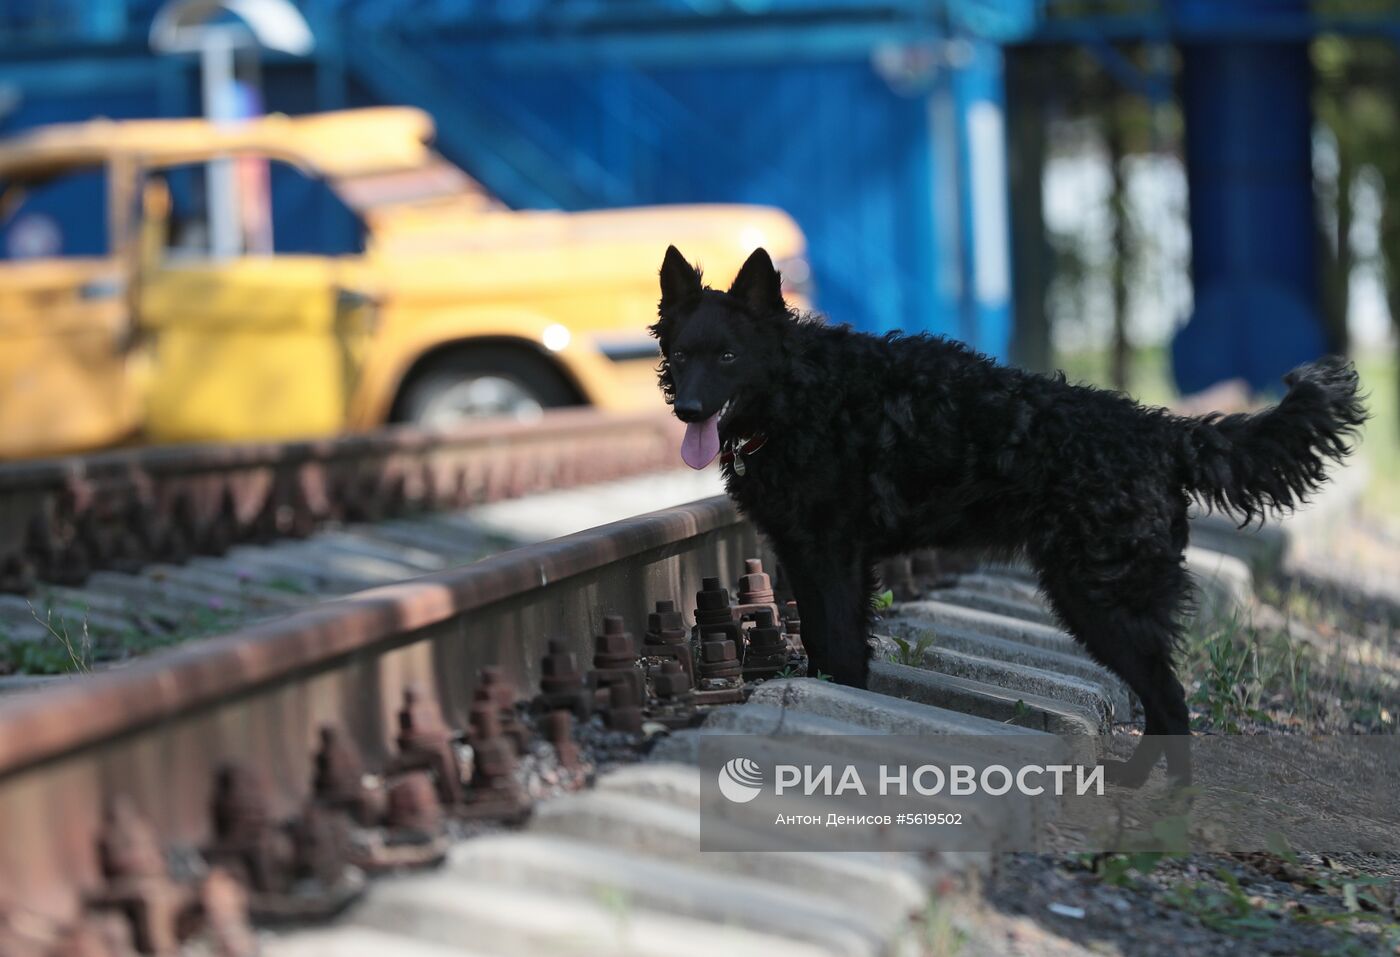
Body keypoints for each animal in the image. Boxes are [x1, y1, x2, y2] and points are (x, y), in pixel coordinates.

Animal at [652, 246, 1366, 783]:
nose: (688, 410)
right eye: (681, 355)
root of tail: (1161, 432)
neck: (800, 393)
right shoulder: (812, 559)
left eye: (727, 356)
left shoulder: (831, 560)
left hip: (1102, 601)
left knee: (1171, 704)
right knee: (1166, 706)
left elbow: (840, 653)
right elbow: (837, 652)